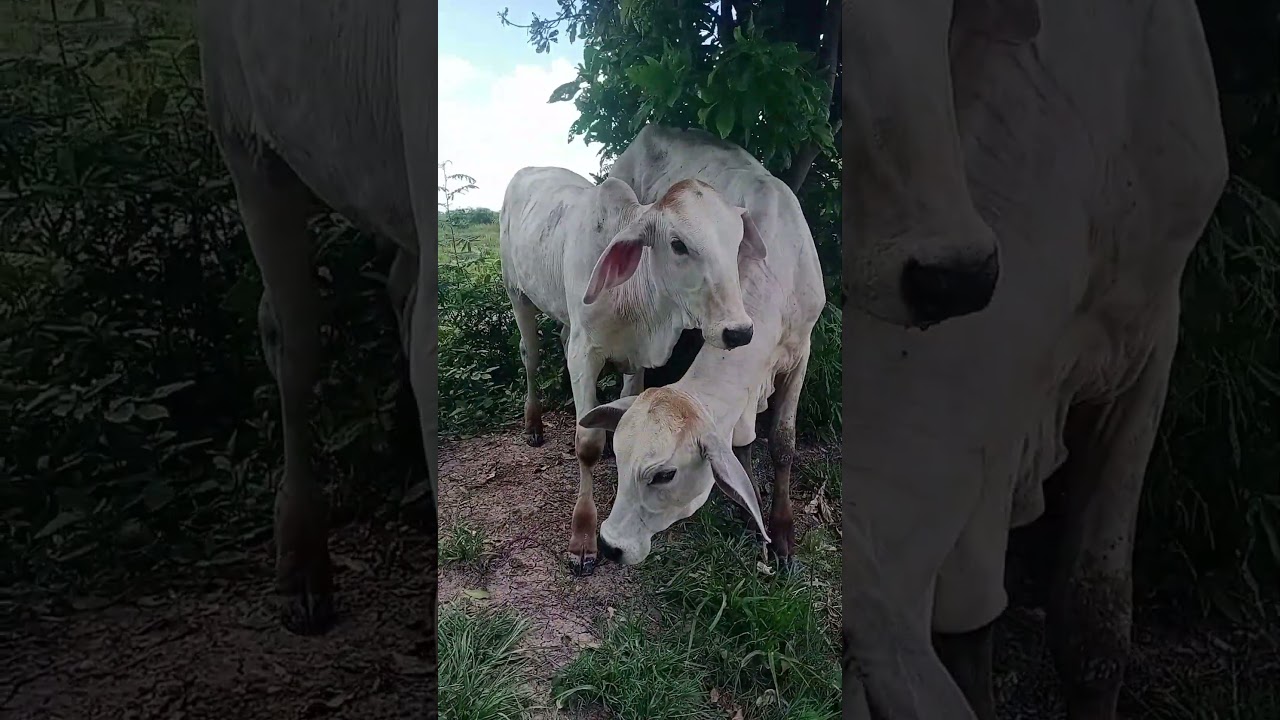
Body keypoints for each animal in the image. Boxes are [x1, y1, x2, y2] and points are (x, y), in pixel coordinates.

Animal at [500, 165, 768, 575]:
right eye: (678, 245)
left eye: (737, 242)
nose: (738, 331)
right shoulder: (585, 354)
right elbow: (588, 446)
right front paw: (583, 536)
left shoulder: (637, 357)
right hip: (517, 294)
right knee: (529, 355)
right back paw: (533, 423)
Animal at [577, 124, 827, 570]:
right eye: (623, 460)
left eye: (664, 475)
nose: (609, 545)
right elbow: (743, 443)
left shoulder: (801, 352)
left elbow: (781, 443)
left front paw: (780, 531)